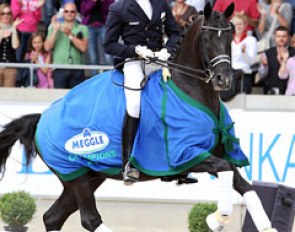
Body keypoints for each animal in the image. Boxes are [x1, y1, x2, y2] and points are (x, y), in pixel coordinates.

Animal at [0, 3, 278, 232]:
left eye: (231, 36)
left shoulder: (219, 154)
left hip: (89, 176)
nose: (224, 80)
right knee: (90, 219)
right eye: (207, 37)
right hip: (75, 175)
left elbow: (245, 185)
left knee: (53, 217)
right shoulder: (188, 154)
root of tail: (41, 118)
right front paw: (216, 219)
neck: (192, 91)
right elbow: (225, 172)